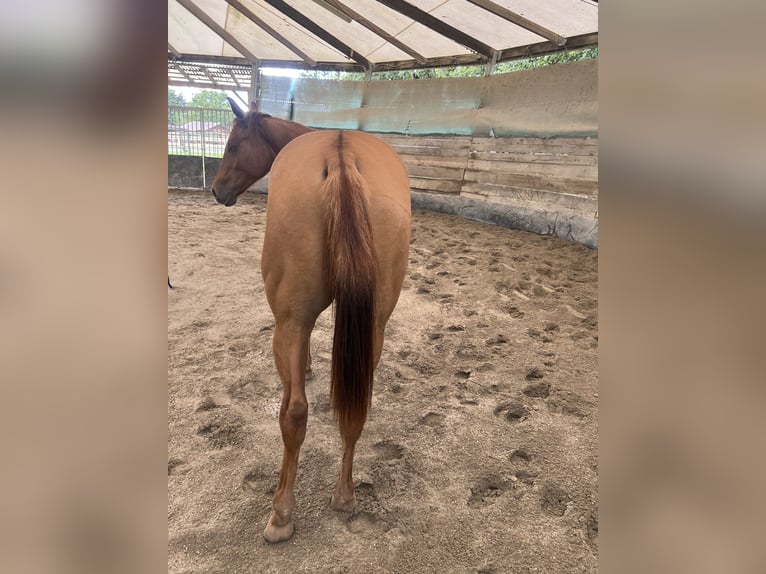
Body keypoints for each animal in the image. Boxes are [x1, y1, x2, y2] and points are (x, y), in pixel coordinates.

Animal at [211, 99, 411, 543]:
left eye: (232, 144)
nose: (216, 190)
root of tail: (341, 156)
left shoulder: (290, 321)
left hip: (290, 320)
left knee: (295, 412)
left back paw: (281, 514)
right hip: (374, 325)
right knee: (356, 407)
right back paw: (345, 496)